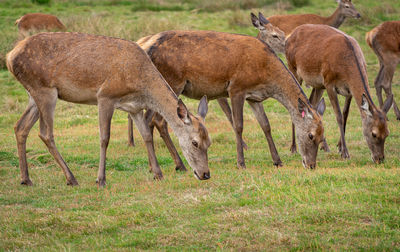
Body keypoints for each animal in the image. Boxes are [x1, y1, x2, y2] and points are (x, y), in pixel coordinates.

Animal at [6, 32, 212, 187]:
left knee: (20, 126)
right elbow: (104, 138)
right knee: (45, 133)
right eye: (194, 142)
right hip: (45, 90)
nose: (205, 174)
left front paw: (158, 173)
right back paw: (71, 178)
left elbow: (146, 135)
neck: (141, 84)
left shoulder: (134, 108)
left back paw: (26, 179)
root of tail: (9, 56)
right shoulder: (105, 96)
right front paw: (101, 179)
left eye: (209, 142)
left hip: (33, 94)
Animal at [133, 30, 326, 171]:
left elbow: (266, 125)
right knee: (158, 121)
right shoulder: (236, 88)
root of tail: (146, 45)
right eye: (310, 135)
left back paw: (154, 167)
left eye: (322, 136)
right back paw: (180, 165)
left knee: (149, 120)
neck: (267, 74)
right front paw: (241, 163)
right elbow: (238, 125)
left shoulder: (254, 97)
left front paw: (277, 161)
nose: (311, 165)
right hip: (172, 81)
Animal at [286, 24, 392, 163]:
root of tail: (290, 35)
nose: (380, 159)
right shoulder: (329, 83)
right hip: (293, 68)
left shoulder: (348, 91)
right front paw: (345, 153)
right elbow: (339, 116)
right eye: (374, 133)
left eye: (387, 133)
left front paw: (340, 147)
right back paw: (293, 147)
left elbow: (345, 114)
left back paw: (324, 146)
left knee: (312, 104)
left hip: (318, 84)